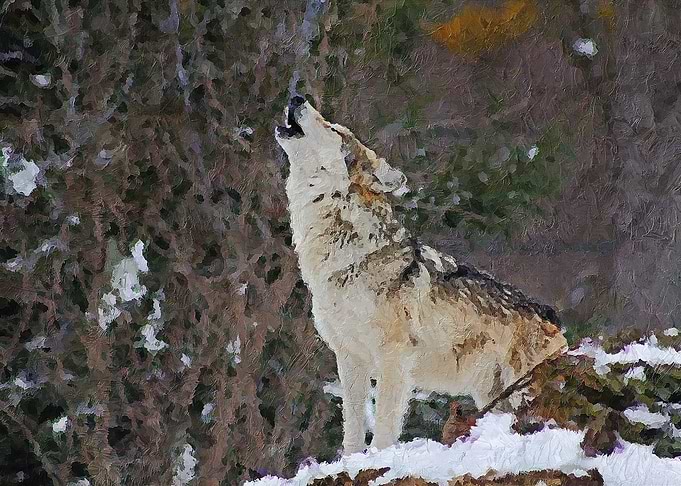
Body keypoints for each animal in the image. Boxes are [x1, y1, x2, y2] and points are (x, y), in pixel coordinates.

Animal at [275, 96, 567, 453]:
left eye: (334, 129)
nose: (297, 97)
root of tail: (554, 319)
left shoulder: (393, 359)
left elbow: (384, 427)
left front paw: (379, 457)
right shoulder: (350, 359)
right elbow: (353, 430)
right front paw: (352, 459)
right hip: (494, 397)